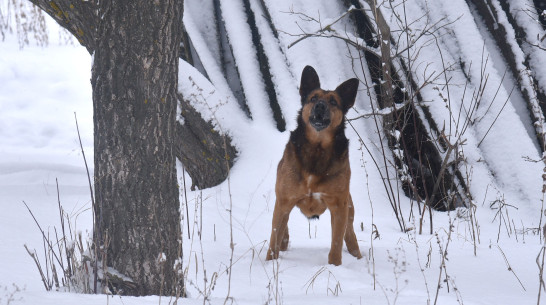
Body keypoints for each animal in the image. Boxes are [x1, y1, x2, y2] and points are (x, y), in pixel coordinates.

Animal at [264, 66, 362, 264]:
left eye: (333, 101)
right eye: (313, 98)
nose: (320, 106)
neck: (317, 149)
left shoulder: (338, 206)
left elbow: (336, 244)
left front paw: (334, 267)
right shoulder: (284, 201)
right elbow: (274, 239)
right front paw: (269, 263)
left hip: (348, 210)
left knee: (350, 237)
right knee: (282, 233)